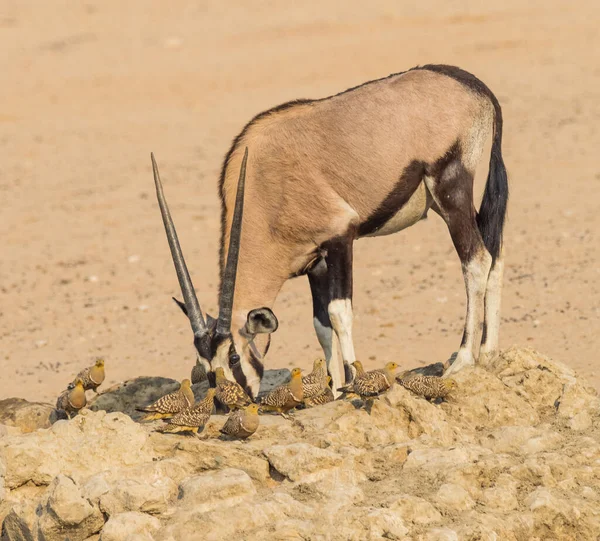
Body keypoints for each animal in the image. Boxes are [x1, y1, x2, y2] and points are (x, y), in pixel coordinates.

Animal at [151, 64, 506, 400]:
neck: (266, 186)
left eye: (234, 358)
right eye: (204, 365)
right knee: (494, 254)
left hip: (450, 190)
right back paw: (489, 354)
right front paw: (334, 390)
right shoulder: (314, 262)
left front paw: (350, 382)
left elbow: (338, 313)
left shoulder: (340, 239)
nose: (225, 404)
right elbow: (320, 325)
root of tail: (474, 87)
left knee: (476, 261)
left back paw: (464, 359)